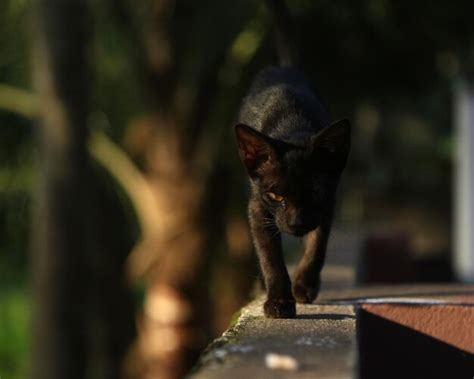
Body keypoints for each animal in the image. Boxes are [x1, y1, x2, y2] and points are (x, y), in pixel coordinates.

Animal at [235, 0, 350, 320]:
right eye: (276, 195)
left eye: (313, 192)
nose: (296, 223)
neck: (292, 124)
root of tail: (284, 69)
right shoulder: (257, 207)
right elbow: (270, 257)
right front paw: (279, 301)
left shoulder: (327, 203)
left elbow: (316, 247)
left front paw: (304, 285)